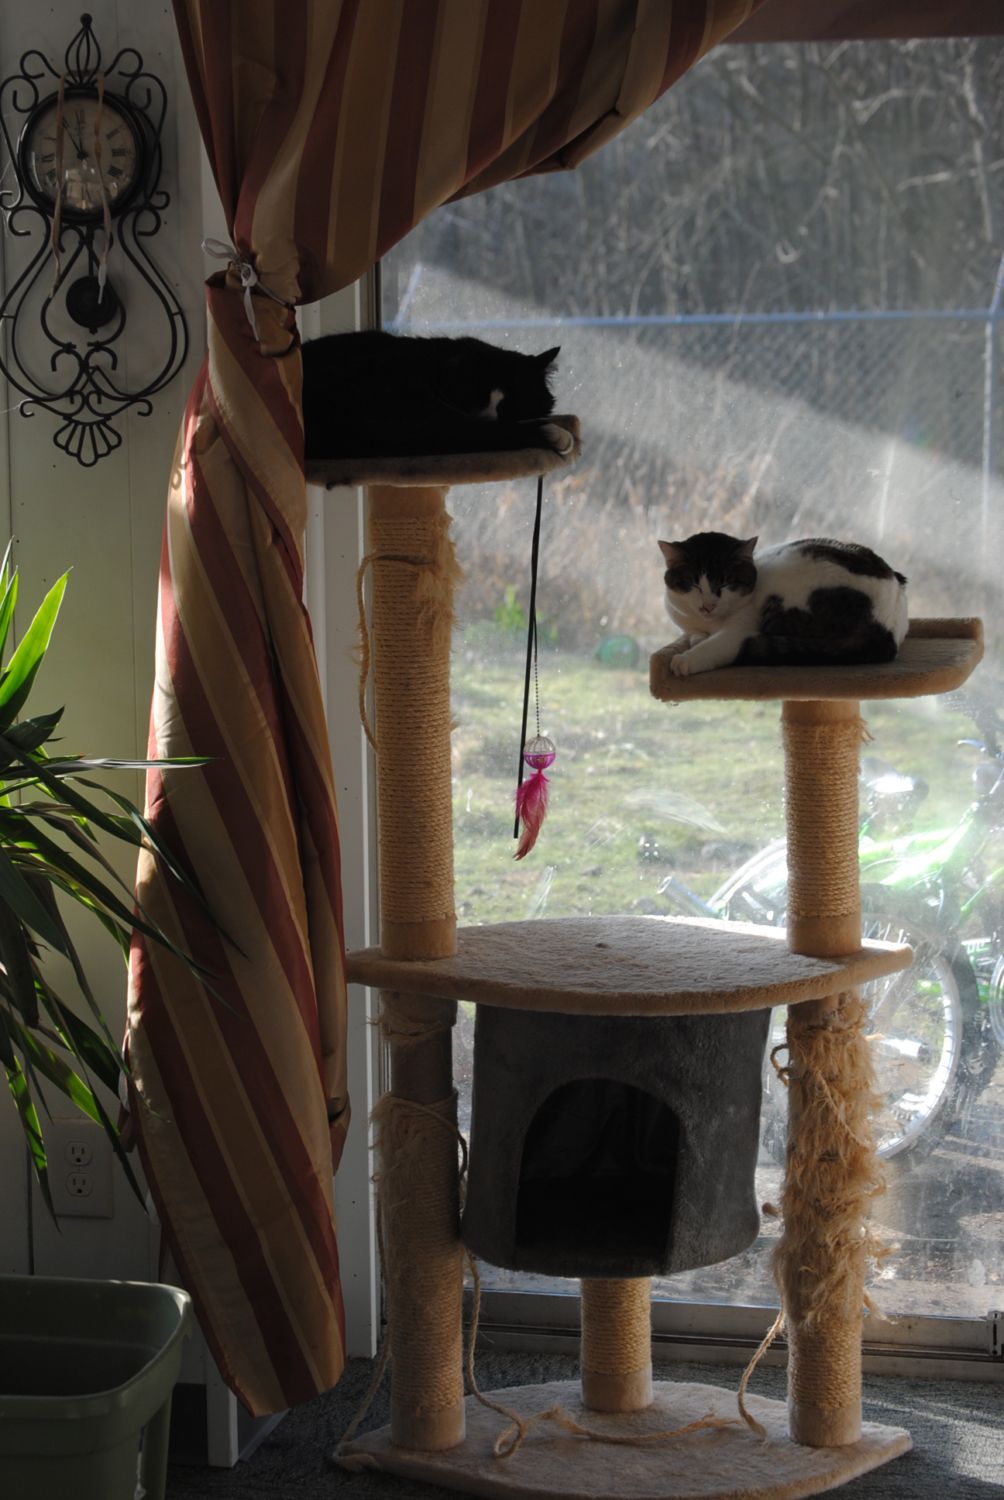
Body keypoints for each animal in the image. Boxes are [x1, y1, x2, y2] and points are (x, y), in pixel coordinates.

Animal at [658, 532, 909, 677]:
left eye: (726, 584)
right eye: (693, 585)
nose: (708, 605)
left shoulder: (739, 629)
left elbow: (713, 646)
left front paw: (685, 660)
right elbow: (695, 635)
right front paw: (696, 639)